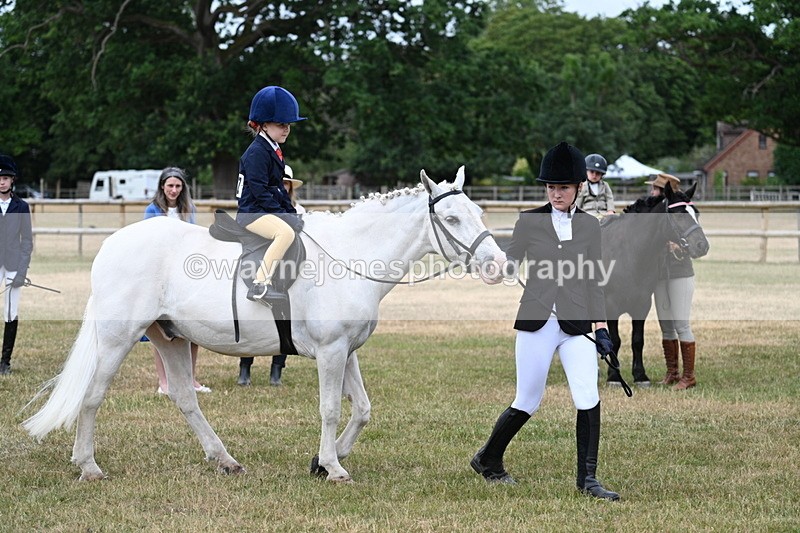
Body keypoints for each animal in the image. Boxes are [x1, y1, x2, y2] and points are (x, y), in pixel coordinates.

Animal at [23, 167, 506, 483]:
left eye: (479, 212)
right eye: (452, 219)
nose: (498, 265)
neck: (350, 256)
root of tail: (111, 245)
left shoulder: (346, 350)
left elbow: (363, 409)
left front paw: (324, 459)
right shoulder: (330, 351)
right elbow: (331, 408)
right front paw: (333, 468)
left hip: (170, 338)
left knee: (184, 398)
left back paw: (224, 459)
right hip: (119, 338)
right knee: (92, 397)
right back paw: (88, 466)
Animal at [599, 183, 708, 386]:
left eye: (696, 213)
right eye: (679, 214)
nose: (702, 246)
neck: (627, 253)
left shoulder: (642, 305)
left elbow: (637, 340)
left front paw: (640, 375)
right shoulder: (610, 306)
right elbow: (615, 340)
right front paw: (614, 377)